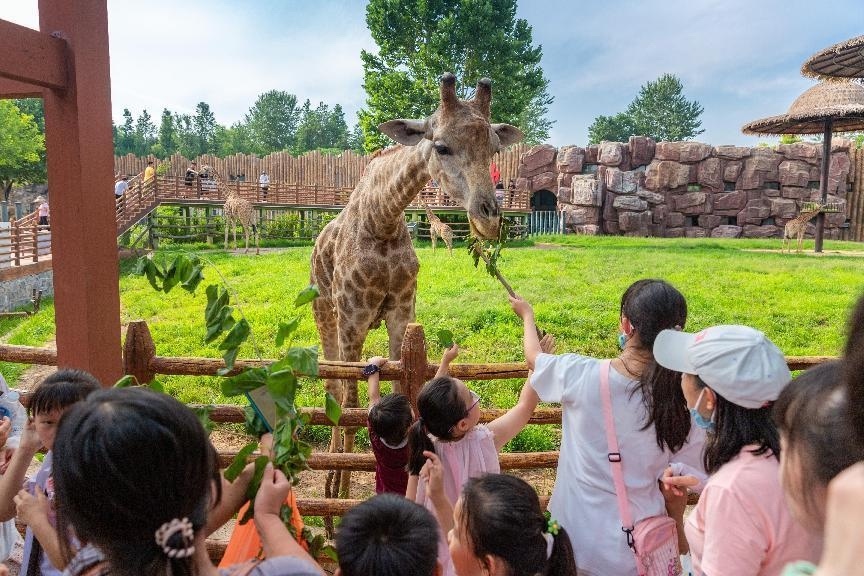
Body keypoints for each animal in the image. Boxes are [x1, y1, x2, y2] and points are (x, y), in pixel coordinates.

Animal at [312, 72, 524, 498]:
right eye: (441, 146)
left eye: (494, 149)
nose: (490, 220)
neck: (383, 219)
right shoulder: (352, 319)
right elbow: (353, 400)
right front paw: (340, 489)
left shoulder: (400, 312)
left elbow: (397, 390)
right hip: (326, 315)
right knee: (334, 387)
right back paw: (330, 479)